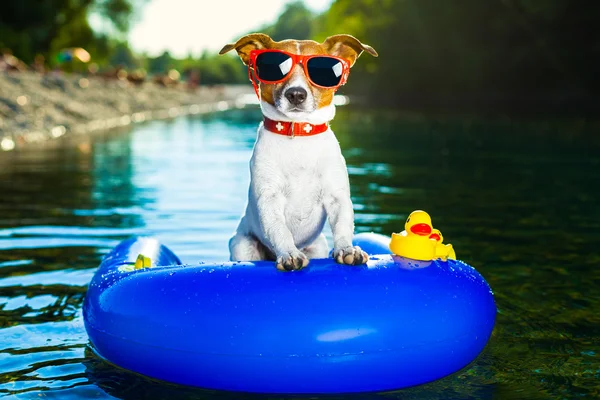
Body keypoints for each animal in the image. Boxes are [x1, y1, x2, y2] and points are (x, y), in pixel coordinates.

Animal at [220, 33, 378, 272]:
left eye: (321, 70)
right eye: (274, 68)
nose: (296, 94)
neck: (299, 135)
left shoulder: (337, 196)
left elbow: (342, 226)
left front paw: (347, 249)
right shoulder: (270, 198)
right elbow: (279, 229)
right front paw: (289, 254)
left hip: (318, 246)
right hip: (242, 245)